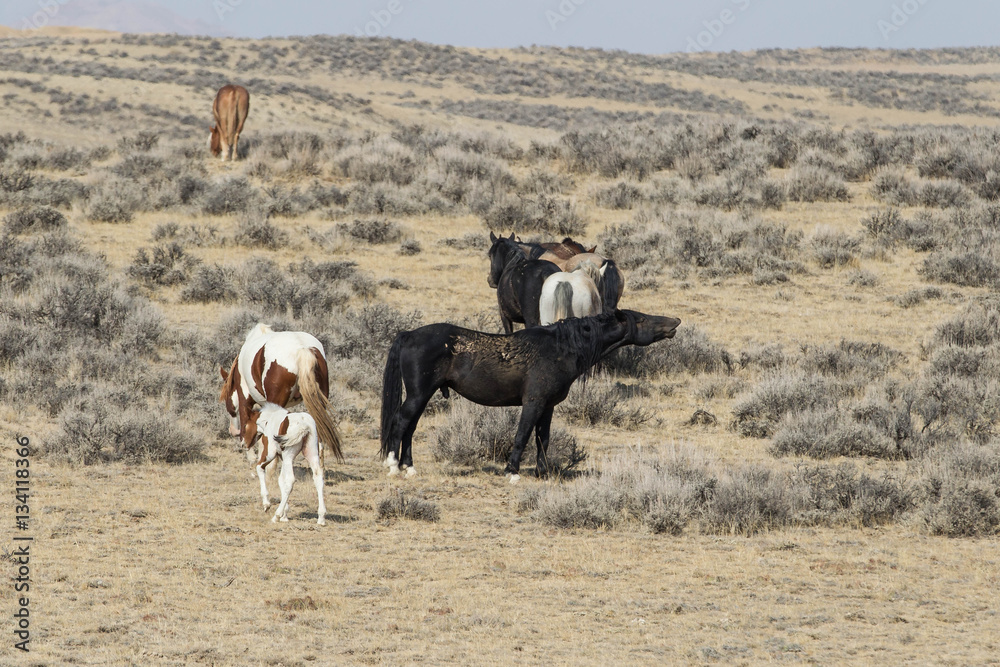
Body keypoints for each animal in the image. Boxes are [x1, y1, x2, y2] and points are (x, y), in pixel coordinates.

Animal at [219, 324, 344, 464]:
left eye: (226, 397)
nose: (232, 430)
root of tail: (302, 349)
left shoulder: (244, 399)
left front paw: (252, 458)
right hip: (320, 403)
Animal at [380, 310, 680, 482]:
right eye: (640, 319)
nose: (675, 321)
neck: (561, 347)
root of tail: (408, 334)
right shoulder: (533, 403)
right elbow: (522, 435)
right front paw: (512, 472)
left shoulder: (548, 406)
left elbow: (542, 439)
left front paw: (542, 473)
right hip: (419, 394)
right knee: (401, 422)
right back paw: (393, 466)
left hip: (422, 396)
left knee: (410, 427)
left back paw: (409, 467)